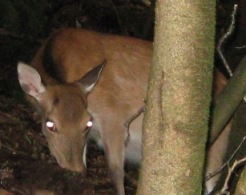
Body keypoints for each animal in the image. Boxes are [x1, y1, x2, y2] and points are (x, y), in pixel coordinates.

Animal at [17, 27, 231, 195]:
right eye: (50, 124)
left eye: (87, 122)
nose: (74, 170)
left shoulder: (113, 116)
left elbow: (115, 172)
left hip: (217, 147)